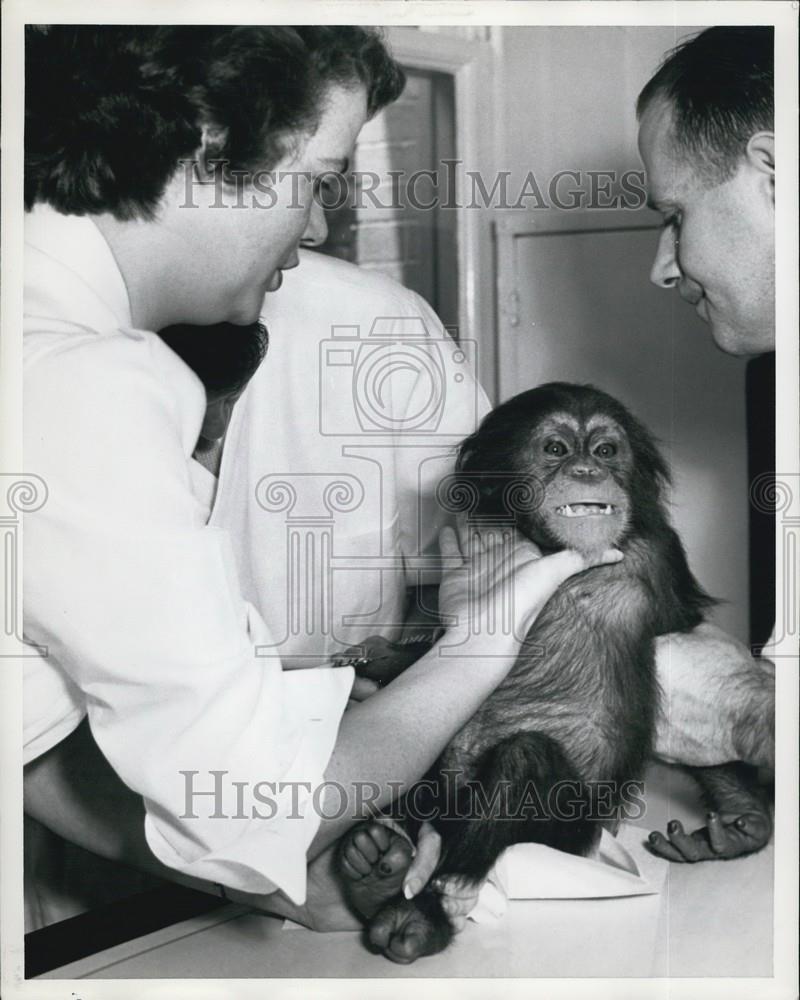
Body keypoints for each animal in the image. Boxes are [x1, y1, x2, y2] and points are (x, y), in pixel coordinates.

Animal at [340, 380, 772, 960]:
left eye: (607, 450)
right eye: (556, 449)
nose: (588, 470)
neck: (558, 553)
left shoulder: (665, 564)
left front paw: (746, 818)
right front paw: (380, 657)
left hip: (564, 829)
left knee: (521, 763)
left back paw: (421, 910)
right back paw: (372, 864)